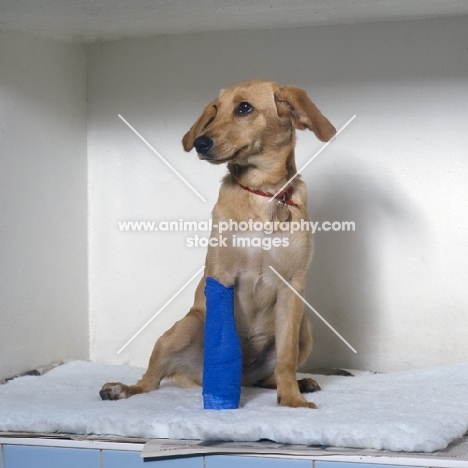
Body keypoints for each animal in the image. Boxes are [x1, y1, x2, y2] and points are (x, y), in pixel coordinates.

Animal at [99, 78, 336, 408]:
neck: (262, 193)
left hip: (305, 327)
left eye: (244, 108)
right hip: (183, 328)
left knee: (270, 375)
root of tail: (244, 376)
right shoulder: (222, 276)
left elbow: (286, 358)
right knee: (150, 381)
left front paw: (291, 399)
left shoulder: (292, 286)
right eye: (213, 111)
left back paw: (299, 383)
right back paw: (121, 388)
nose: (200, 143)